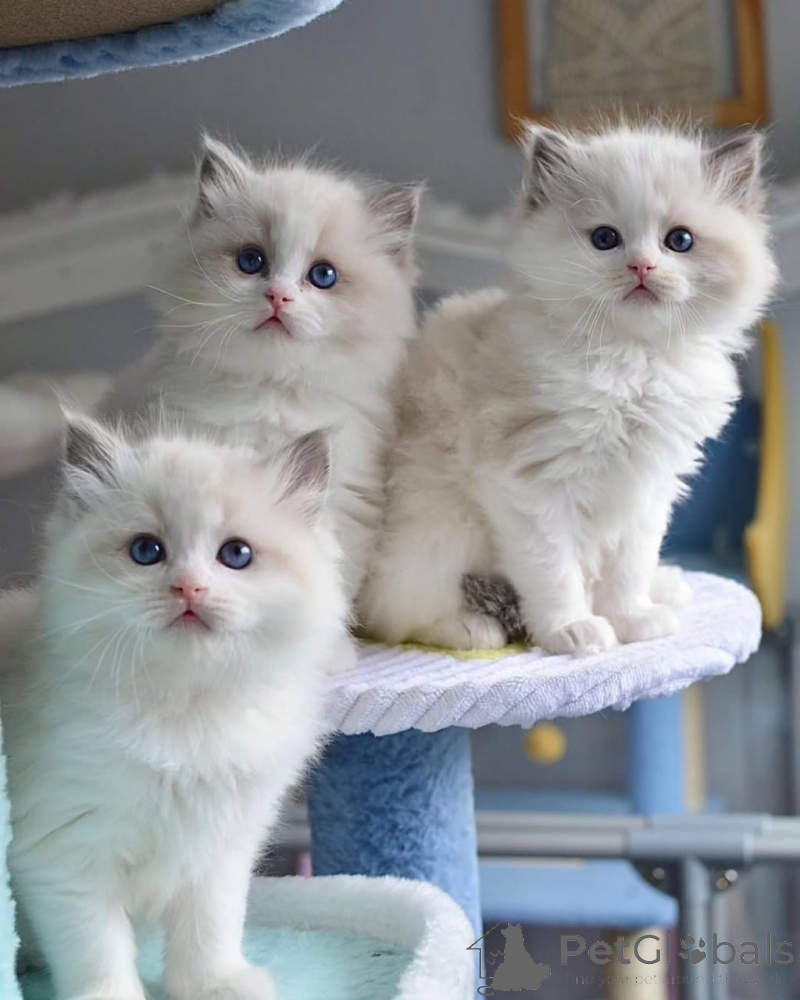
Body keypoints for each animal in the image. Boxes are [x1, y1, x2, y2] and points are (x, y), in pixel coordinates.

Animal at [0, 413, 352, 1000]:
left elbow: (209, 929)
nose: (189, 588)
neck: (186, 712)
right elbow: (96, 949)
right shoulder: (64, 852)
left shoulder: (220, 849)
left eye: (236, 555)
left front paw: (215, 985)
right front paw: (113, 997)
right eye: (146, 551)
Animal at [360, 122, 778, 654]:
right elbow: (555, 572)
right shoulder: (531, 485)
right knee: (397, 612)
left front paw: (632, 619)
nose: (642, 267)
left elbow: (629, 566)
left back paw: (665, 587)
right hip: (439, 524)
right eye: (605, 239)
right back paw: (471, 628)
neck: (633, 365)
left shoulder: (646, 487)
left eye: (679, 241)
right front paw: (571, 629)